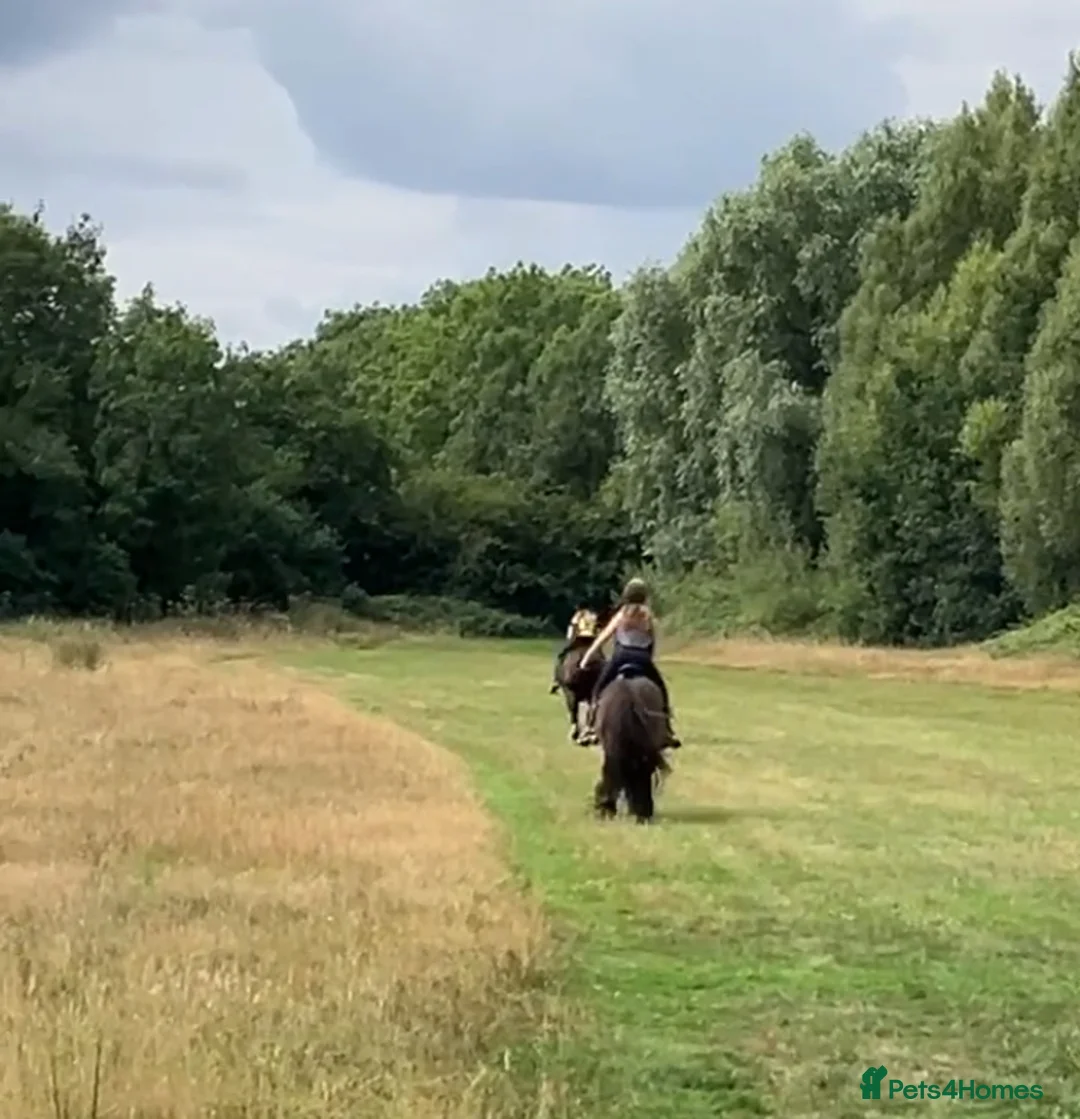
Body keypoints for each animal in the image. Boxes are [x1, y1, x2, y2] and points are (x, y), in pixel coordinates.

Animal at [552, 607, 606, 742]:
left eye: (572, 623)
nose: (568, 635)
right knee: (593, 711)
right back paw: (590, 734)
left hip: (571, 693)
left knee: (574, 713)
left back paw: (576, 734)